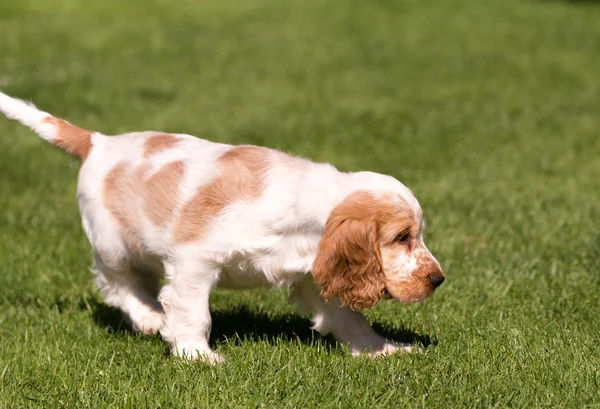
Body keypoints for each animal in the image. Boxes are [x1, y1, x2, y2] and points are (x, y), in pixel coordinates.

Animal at [0, 91, 442, 362]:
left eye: (415, 235)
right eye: (402, 238)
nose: (438, 280)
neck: (307, 213)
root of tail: (97, 141)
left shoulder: (315, 273)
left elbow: (349, 318)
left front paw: (383, 349)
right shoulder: (195, 259)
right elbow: (194, 312)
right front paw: (197, 356)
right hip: (113, 243)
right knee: (115, 284)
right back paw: (148, 317)